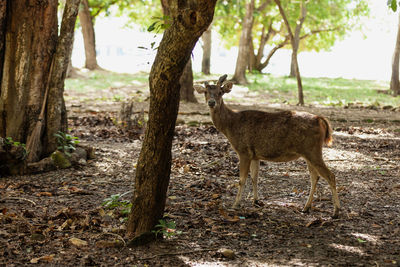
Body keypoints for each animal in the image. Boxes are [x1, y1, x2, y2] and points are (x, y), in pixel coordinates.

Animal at [194, 74, 340, 219]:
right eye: (206, 92)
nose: (211, 102)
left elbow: (242, 179)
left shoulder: (243, 150)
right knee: (315, 177)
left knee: (330, 175)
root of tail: (320, 119)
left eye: (220, 92)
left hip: (312, 150)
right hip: (308, 153)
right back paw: (306, 207)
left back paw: (336, 212)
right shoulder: (254, 155)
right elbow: (255, 177)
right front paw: (256, 201)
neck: (230, 126)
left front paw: (235, 204)